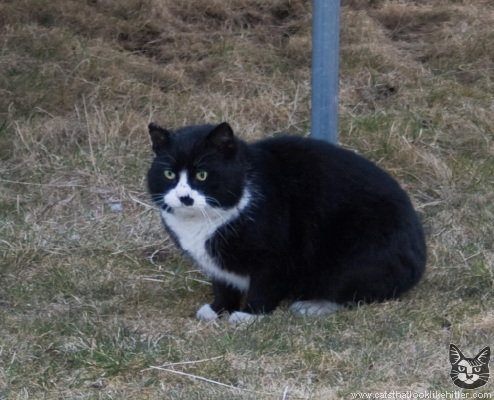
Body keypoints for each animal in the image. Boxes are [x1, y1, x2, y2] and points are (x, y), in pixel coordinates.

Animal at [147, 122, 427, 322]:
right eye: (169, 173)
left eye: (202, 175)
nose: (184, 197)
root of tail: (419, 260)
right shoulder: (218, 266)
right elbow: (224, 286)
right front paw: (217, 310)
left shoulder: (276, 254)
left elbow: (263, 286)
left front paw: (248, 315)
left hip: (355, 250)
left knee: (353, 292)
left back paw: (311, 306)